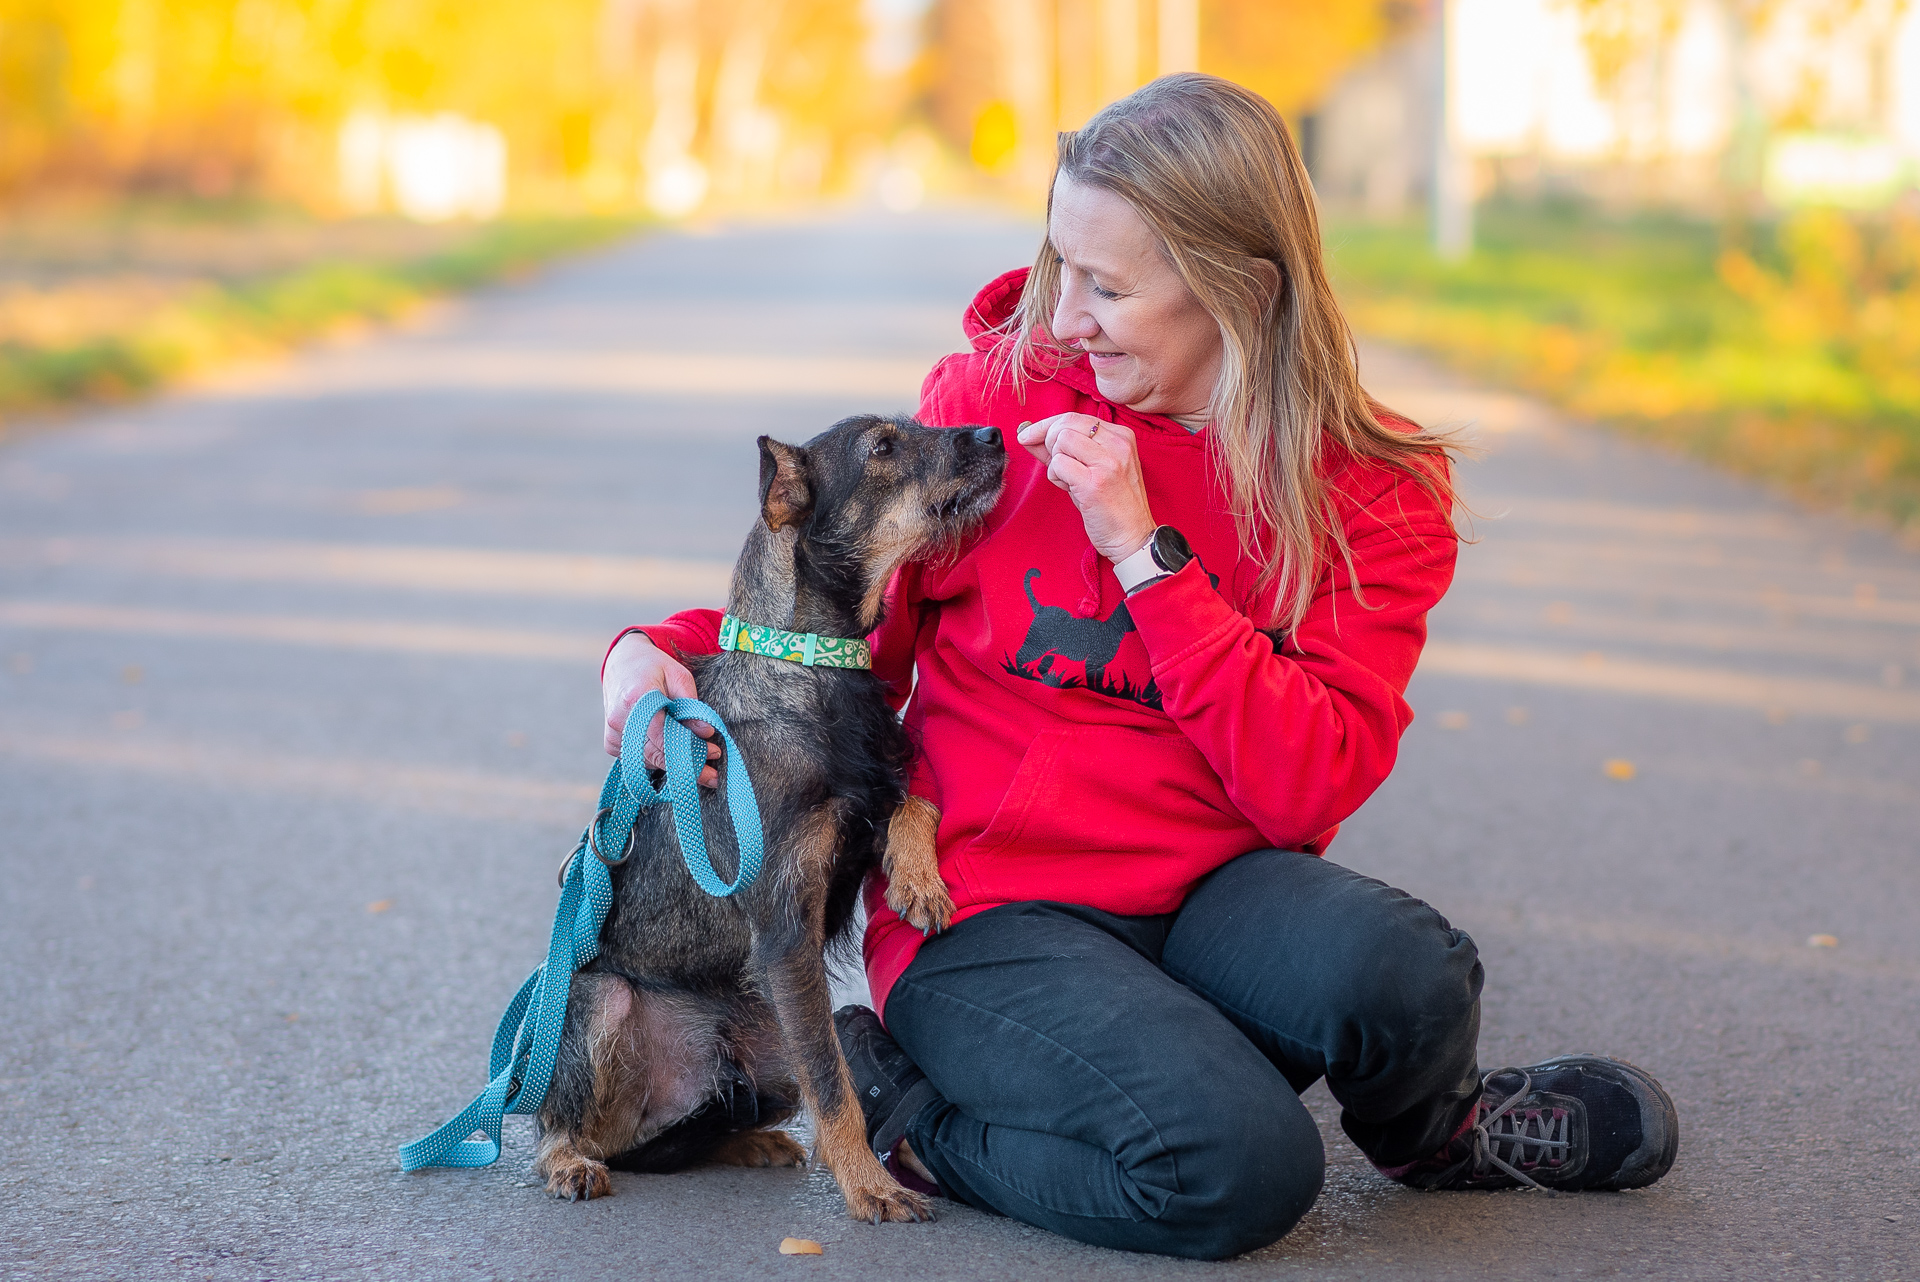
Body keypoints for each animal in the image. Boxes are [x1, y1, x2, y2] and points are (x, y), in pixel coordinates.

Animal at [529, 416, 1006, 1228]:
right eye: (883, 447)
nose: (996, 435)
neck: (812, 662)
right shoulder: (787, 929)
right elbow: (836, 1089)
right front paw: (870, 1187)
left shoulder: (866, 802)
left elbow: (914, 799)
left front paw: (919, 879)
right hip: (604, 1005)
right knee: (573, 1129)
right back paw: (569, 1162)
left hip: (769, 1041)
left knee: (694, 1132)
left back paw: (749, 1140)